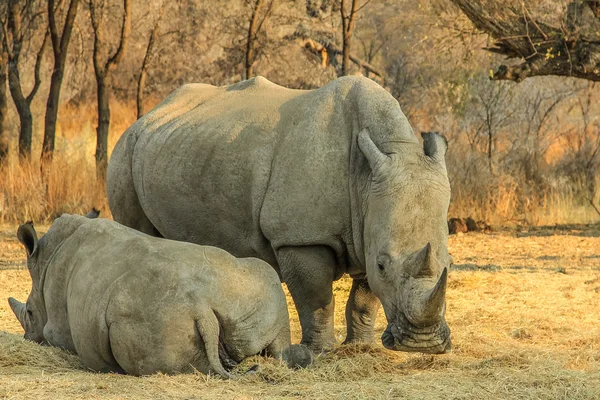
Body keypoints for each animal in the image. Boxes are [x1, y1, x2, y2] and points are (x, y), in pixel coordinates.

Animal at [7, 214, 312, 376]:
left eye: (30, 314)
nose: (27, 337)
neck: (45, 262)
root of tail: (200, 307)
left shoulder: (56, 325)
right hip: (252, 285)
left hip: (156, 320)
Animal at [108, 75, 452, 354]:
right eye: (383, 264)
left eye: (449, 263)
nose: (422, 344)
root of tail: (148, 114)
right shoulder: (299, 237)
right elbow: (316, 298)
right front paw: (320, 352)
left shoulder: (368, 226)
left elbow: (365, 300)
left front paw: (361, 348)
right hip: (125, 148)